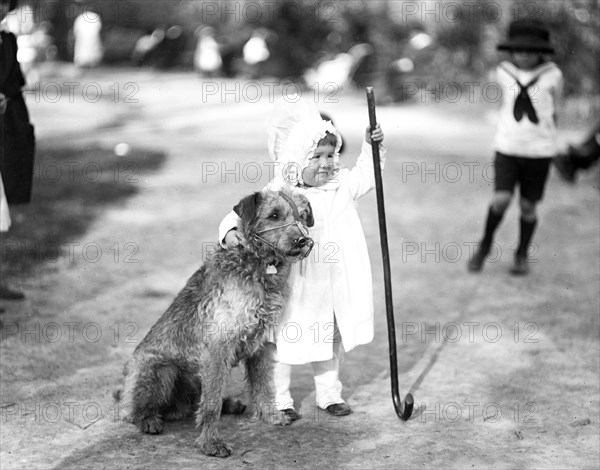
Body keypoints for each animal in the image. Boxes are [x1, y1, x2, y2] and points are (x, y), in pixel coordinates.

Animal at [118, 189, 314, 458]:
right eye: (274, 215)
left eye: (302, 216)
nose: (303, 241)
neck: (257, 265)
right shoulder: (218, 347)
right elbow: (210, 406)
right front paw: (211, 443)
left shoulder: (261, 344)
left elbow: (263, 385)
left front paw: (271, 416)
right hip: (163, 370)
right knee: (135, 411)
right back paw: (148, 420)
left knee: (193, 404)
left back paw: (229, 404)